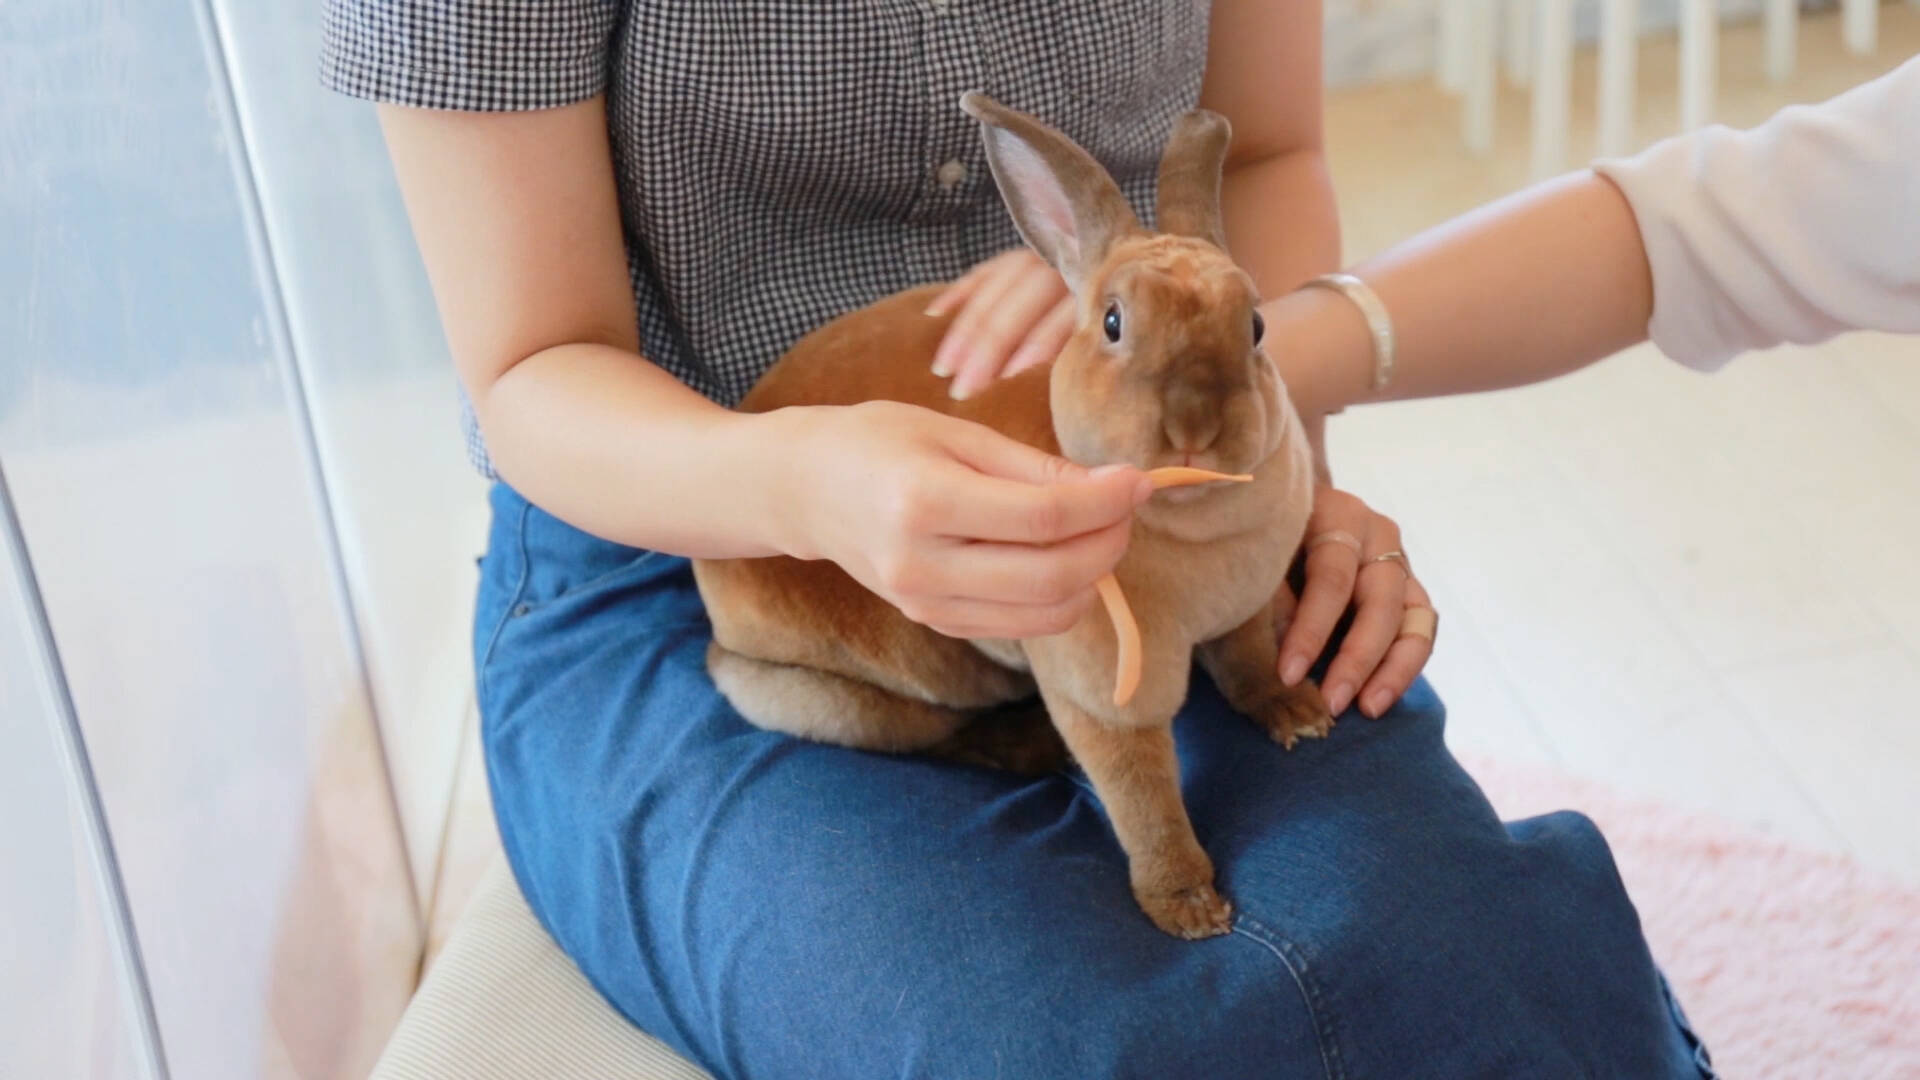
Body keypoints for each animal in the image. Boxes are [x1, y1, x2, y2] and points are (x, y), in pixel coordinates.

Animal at [691, 92, 1336, 933]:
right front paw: (1188, 907)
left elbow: (1251, 664)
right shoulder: (1104, 694)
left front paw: (1298, 713)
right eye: (1113, 324)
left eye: (1255, 326)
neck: (1191, 517)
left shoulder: (1244, 611)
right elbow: (1143, 797)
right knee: (936, 737)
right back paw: (1032, 747)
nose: (1194, 423)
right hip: (835, 694)